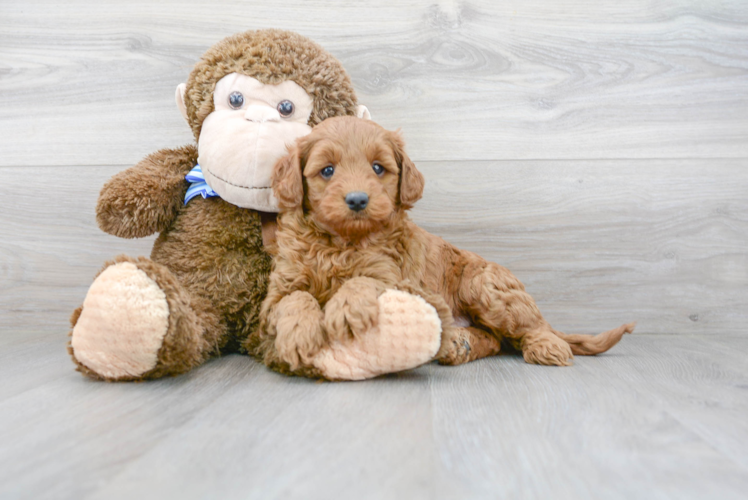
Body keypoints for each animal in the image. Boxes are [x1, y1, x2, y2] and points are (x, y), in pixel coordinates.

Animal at [248, 116, 636, 376]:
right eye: (327, 171)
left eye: (378, 168)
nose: (357, 200)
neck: (341, 242)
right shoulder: (278, 290)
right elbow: (294, 298)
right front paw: (299, 334)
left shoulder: (394, 276)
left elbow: (365, 280)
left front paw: (345, 307)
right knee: (493, 338)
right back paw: (457, 344)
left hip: (486, 285)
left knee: (527, 327)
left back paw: (546, 345)